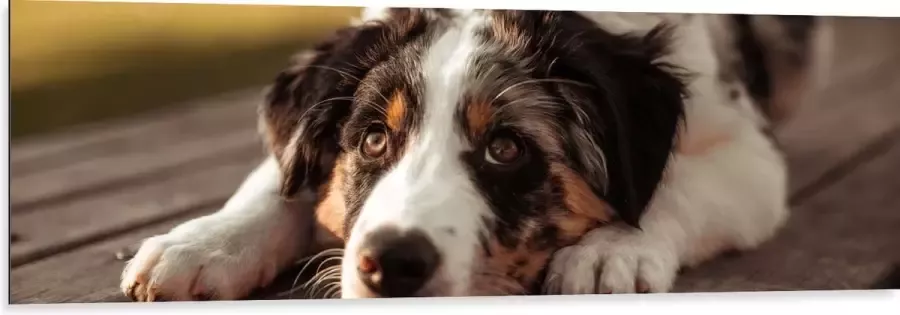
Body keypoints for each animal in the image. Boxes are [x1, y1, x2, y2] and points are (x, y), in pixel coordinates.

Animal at [123, 8, 820, 302]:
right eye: (373, 139)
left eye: (505, 148)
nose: (391, 266)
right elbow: (279, 178)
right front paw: (202, 246)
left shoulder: (750, 152)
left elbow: (675, 185)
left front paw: (610, 250)